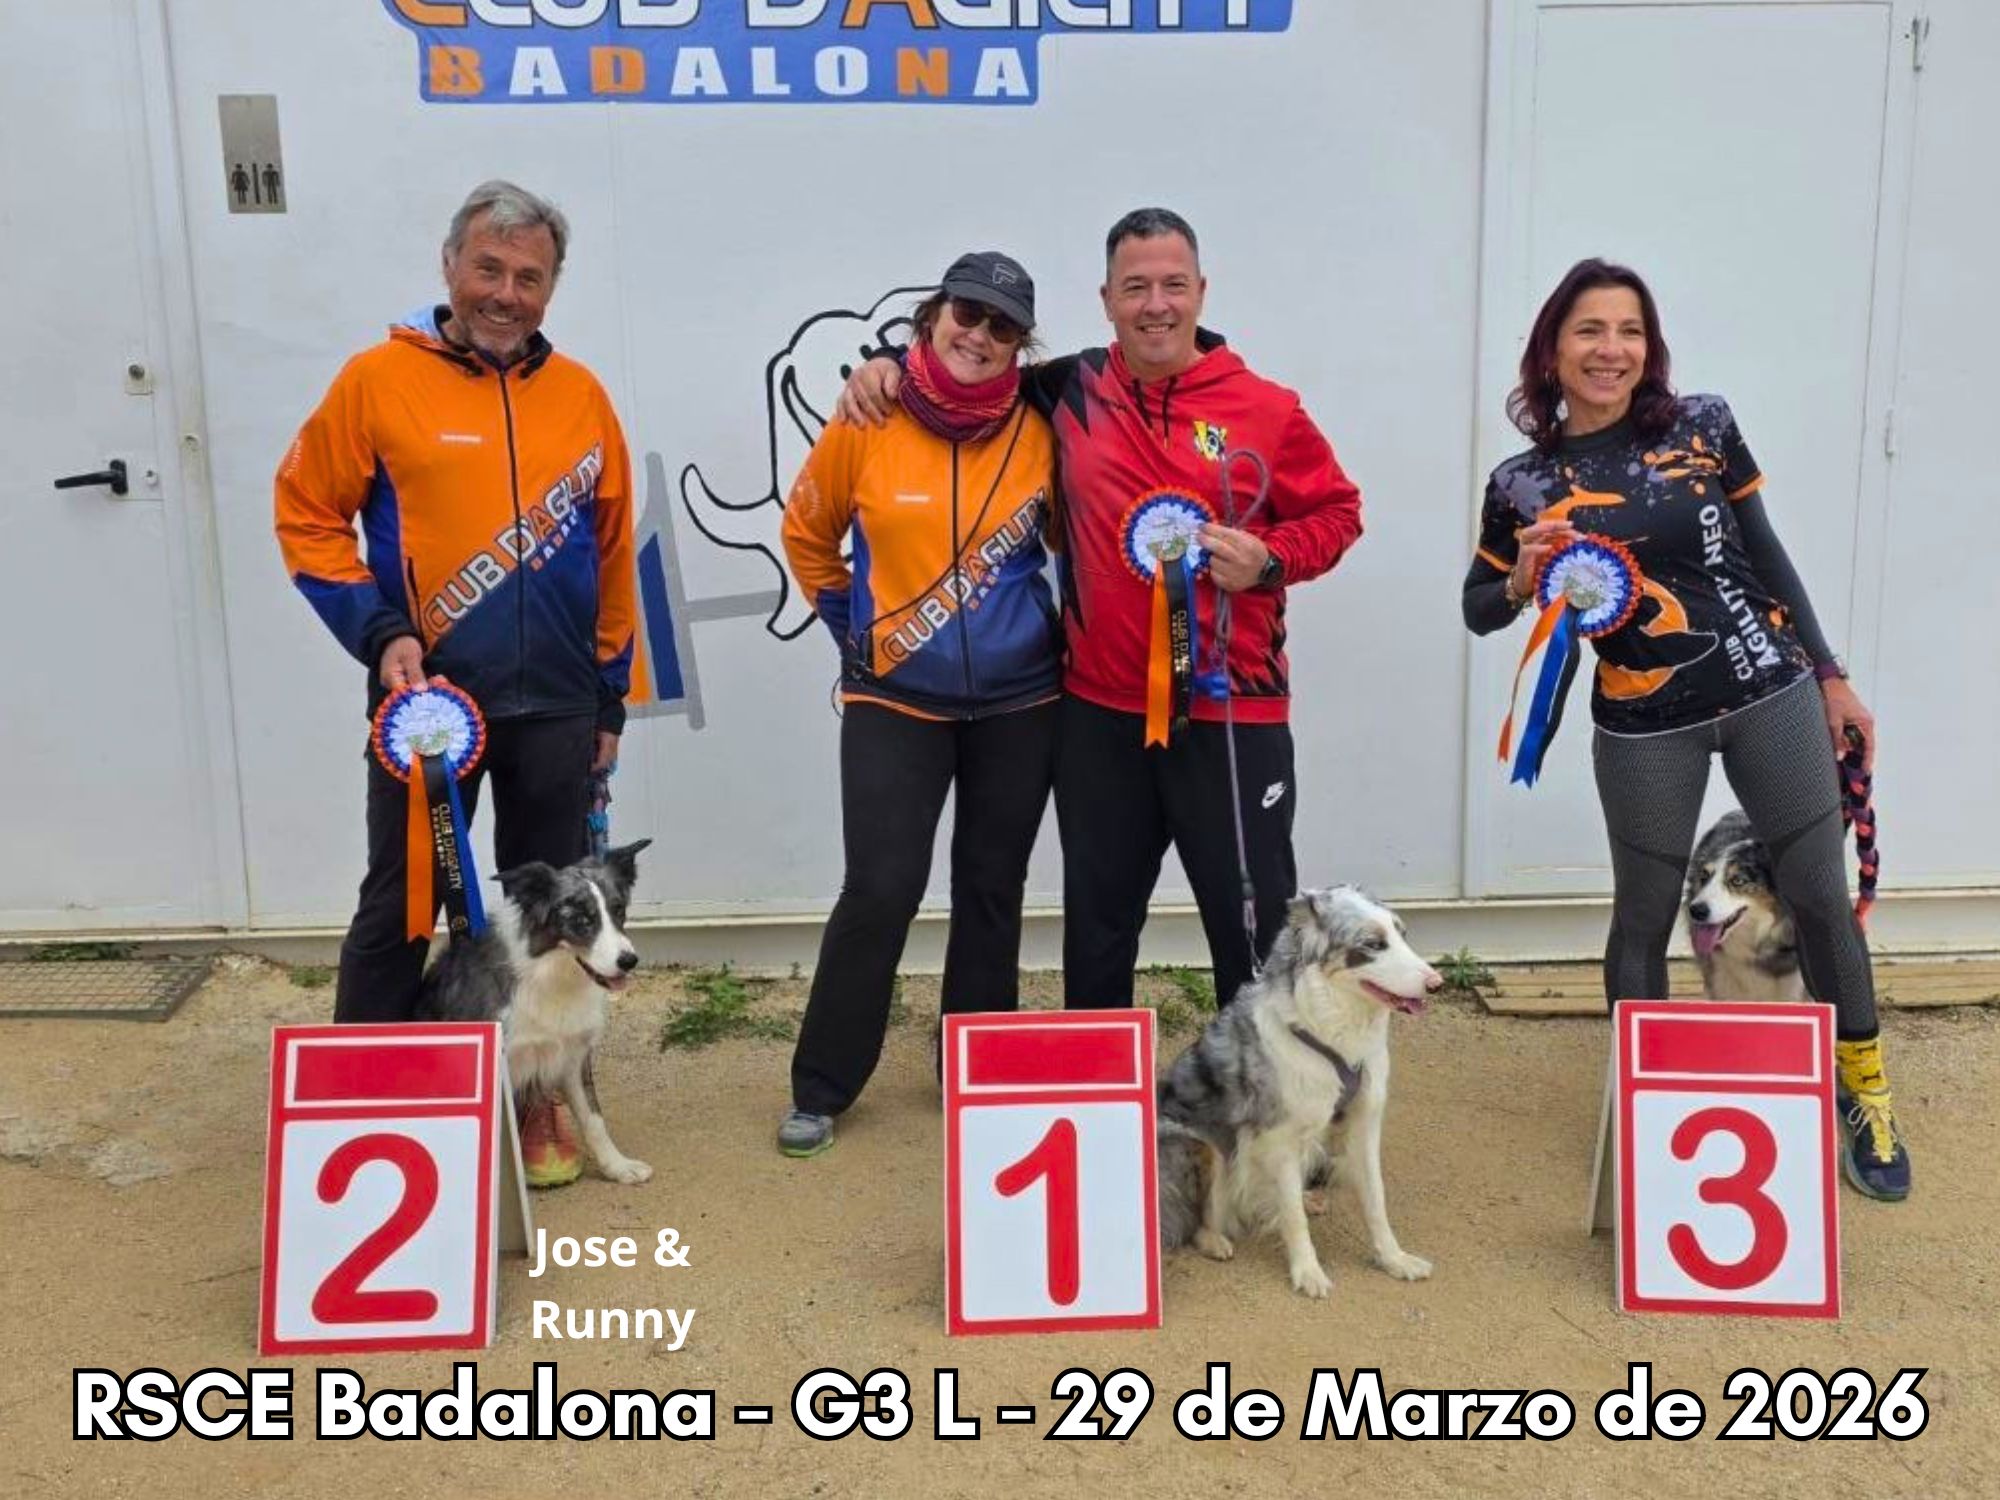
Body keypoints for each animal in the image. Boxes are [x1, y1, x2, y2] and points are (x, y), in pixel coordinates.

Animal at [417, 839, 654, 1184]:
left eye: (618, 909)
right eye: (581, 919)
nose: (629, 961)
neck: (553, 972)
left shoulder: (572, 1056)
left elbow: (594, 1119)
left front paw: (618, 1166)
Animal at [1156, 886, 1442, 1299]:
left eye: (1403, 936)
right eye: (1373, 945)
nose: (1437, 983)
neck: (1332, 1031)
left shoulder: (1364, 1123)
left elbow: (1375, 1198)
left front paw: (1394, 1259)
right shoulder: (1279, 1137)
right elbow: (1292, 1217)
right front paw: (1308, 1272)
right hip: (1198, 1143)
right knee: (1198, 1218)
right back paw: (1215, 1241)